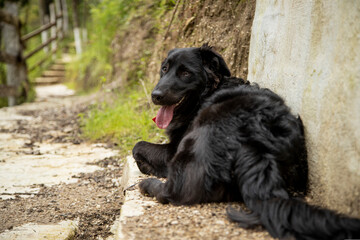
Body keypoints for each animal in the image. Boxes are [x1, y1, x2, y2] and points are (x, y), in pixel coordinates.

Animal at [133, 44, 360, 238]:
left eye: (186, 73)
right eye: (164, 69)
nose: (155, 95)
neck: (210, 90)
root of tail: (254, 143)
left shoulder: (173, 150)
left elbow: (138, 147)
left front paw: (146, 167)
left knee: (175, 192)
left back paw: (149, 185)